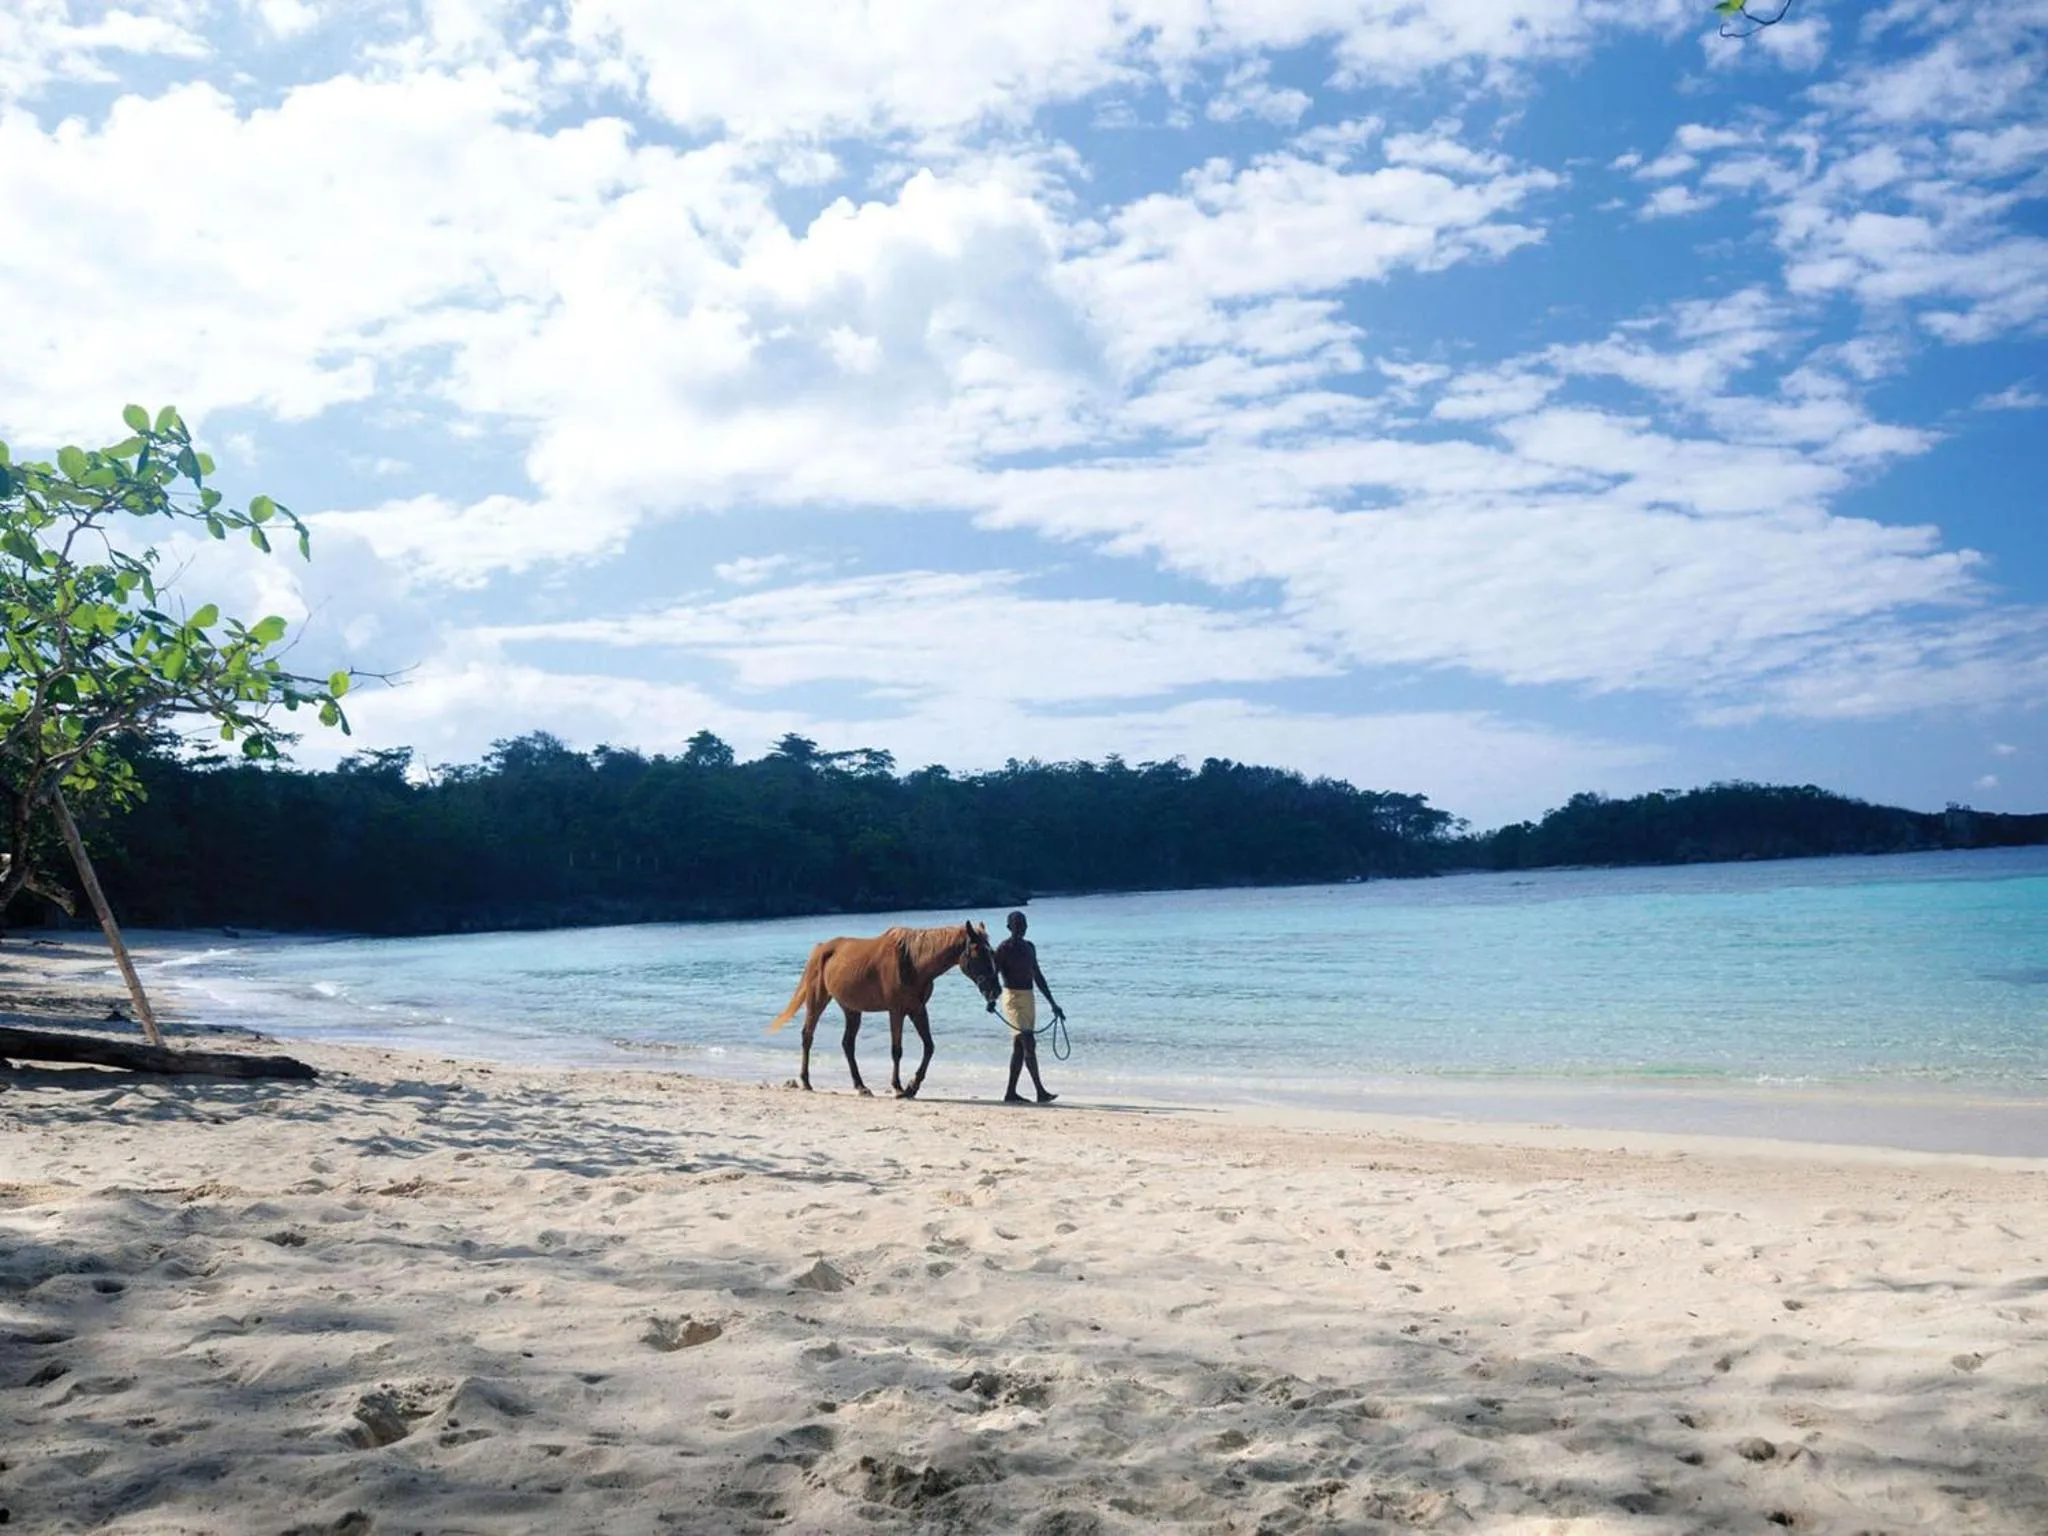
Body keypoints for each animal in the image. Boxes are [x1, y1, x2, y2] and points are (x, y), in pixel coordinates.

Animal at [766, 921, 1000, 1098]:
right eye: (978, 953)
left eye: (992, 953)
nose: (996, 990)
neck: (913, 962)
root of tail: (821, 948)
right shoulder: (896, 1011)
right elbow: (897, 1050)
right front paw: (898, 1088)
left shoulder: (917, 1010)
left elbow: (929, 1047)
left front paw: (912, 1087)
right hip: (817, 1001)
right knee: (808, 1036)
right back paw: (806, 1082)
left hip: (851, 1010)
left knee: (847, 1044)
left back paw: (861, 1087)